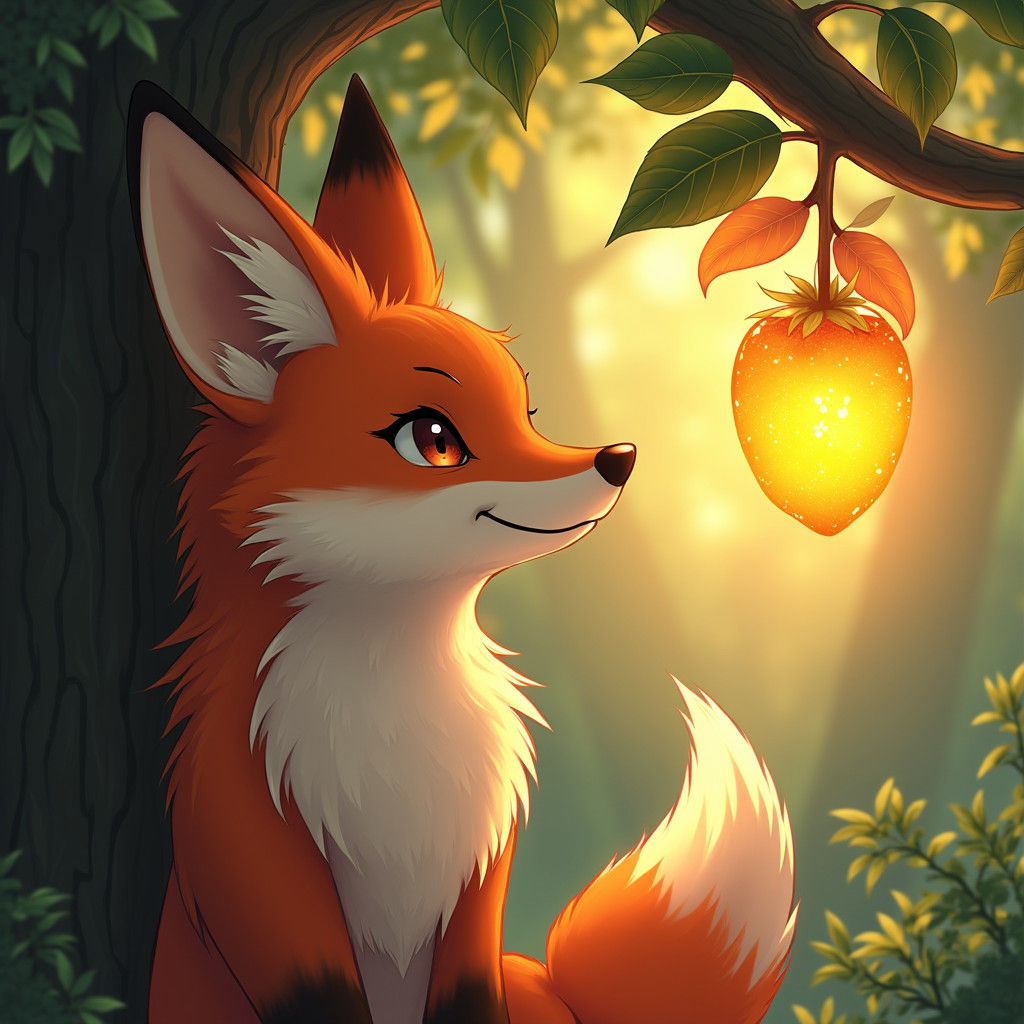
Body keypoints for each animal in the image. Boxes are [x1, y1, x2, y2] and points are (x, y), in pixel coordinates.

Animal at [127, 75, 797, 1024]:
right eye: (435, 439)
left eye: (527, 411)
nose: (619, 457)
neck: (398, 710)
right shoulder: (253, 854)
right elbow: (312, 985)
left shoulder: (480, 875)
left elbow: (470, 995)